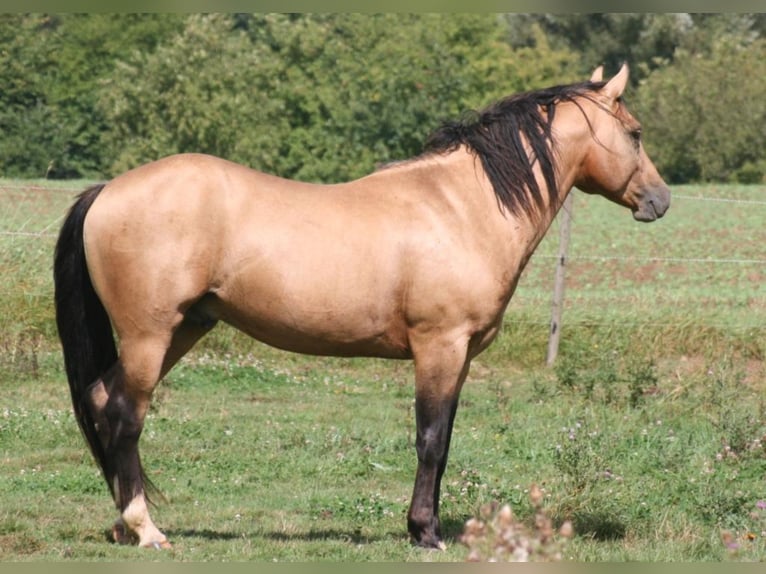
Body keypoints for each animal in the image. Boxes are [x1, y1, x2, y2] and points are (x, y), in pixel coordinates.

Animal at [54, 65, 668, 552]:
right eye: (636, 133)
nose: (660, 200)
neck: (462, 208)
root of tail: (107, 191)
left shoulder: (461, 356)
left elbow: (444, 442)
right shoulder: (439, 346)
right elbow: (431, 440)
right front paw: (425, 532)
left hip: (184, 329)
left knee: (104, 401)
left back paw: (122, 525)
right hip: (149, 335)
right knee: (126, 415)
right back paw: (147, 529)